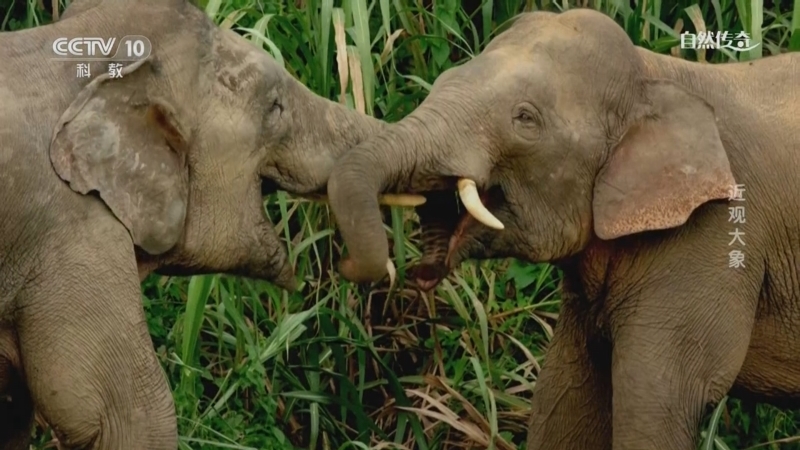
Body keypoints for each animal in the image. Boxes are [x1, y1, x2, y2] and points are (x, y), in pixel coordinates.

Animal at [325, 8, 800, 450]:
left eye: (524, 118)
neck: (656, 72)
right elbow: (564, 388)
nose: (345, 267)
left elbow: (656, 400)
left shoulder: (710, 236)